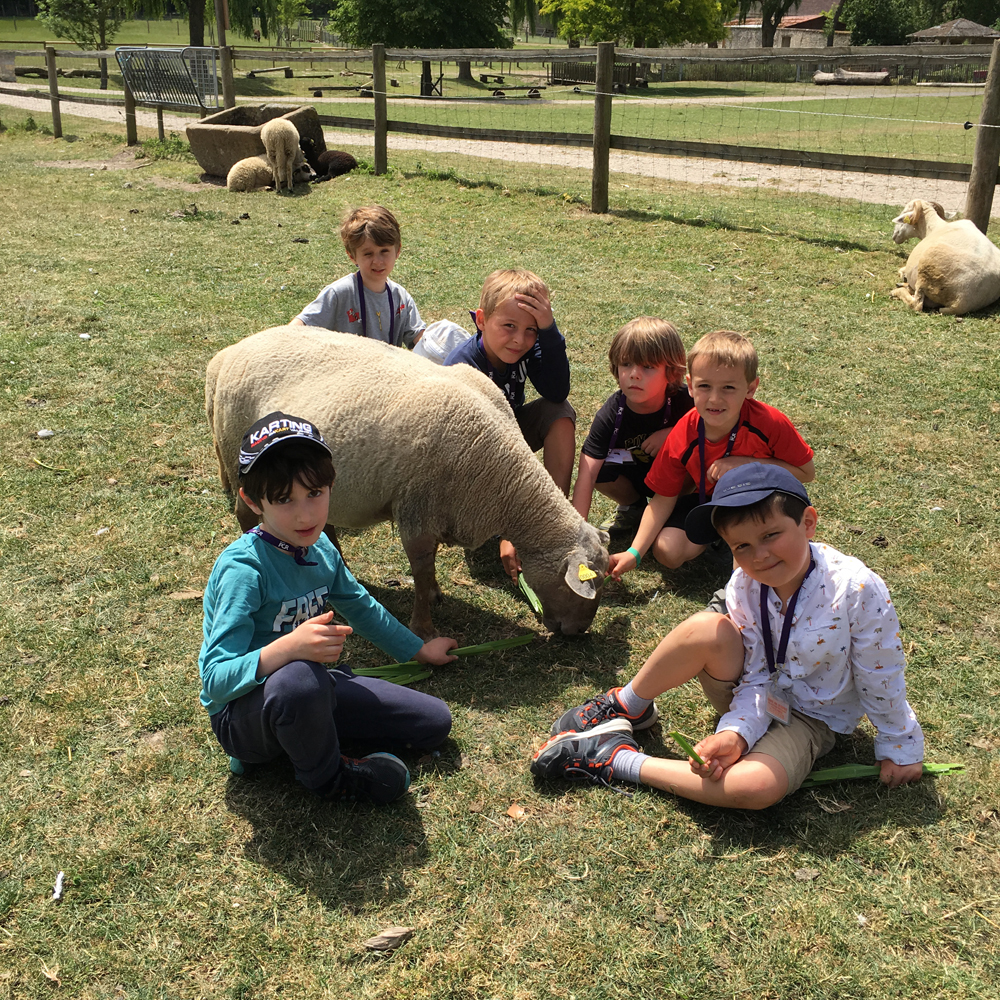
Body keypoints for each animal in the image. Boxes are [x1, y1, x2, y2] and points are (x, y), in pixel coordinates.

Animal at [206, 327, 610, 639]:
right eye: (590, 587)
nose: (576, 634)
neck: (502, 481)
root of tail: (227, 356)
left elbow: (427, 566)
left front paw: (433, 596)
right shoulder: (417, 507)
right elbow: (421, 566)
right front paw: (424, 628)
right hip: (241, 453)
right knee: (246, 514)